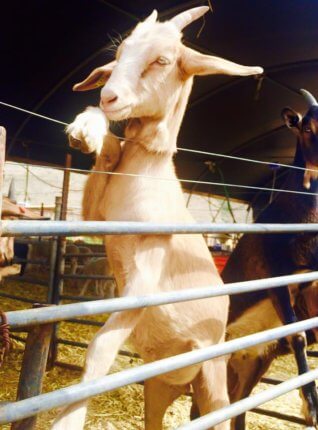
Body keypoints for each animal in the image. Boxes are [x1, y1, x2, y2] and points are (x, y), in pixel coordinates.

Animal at [52, 7, 264, 430]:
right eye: (119, 54)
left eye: (162, 60)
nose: (108, 96)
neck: (149, 170)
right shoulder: (98, 214)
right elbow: (109, 153)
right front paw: (87, 127)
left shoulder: (146, 273)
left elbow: (99, 349)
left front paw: (68, 419)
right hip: (159, 385)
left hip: (212, 377)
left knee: (217, 412)